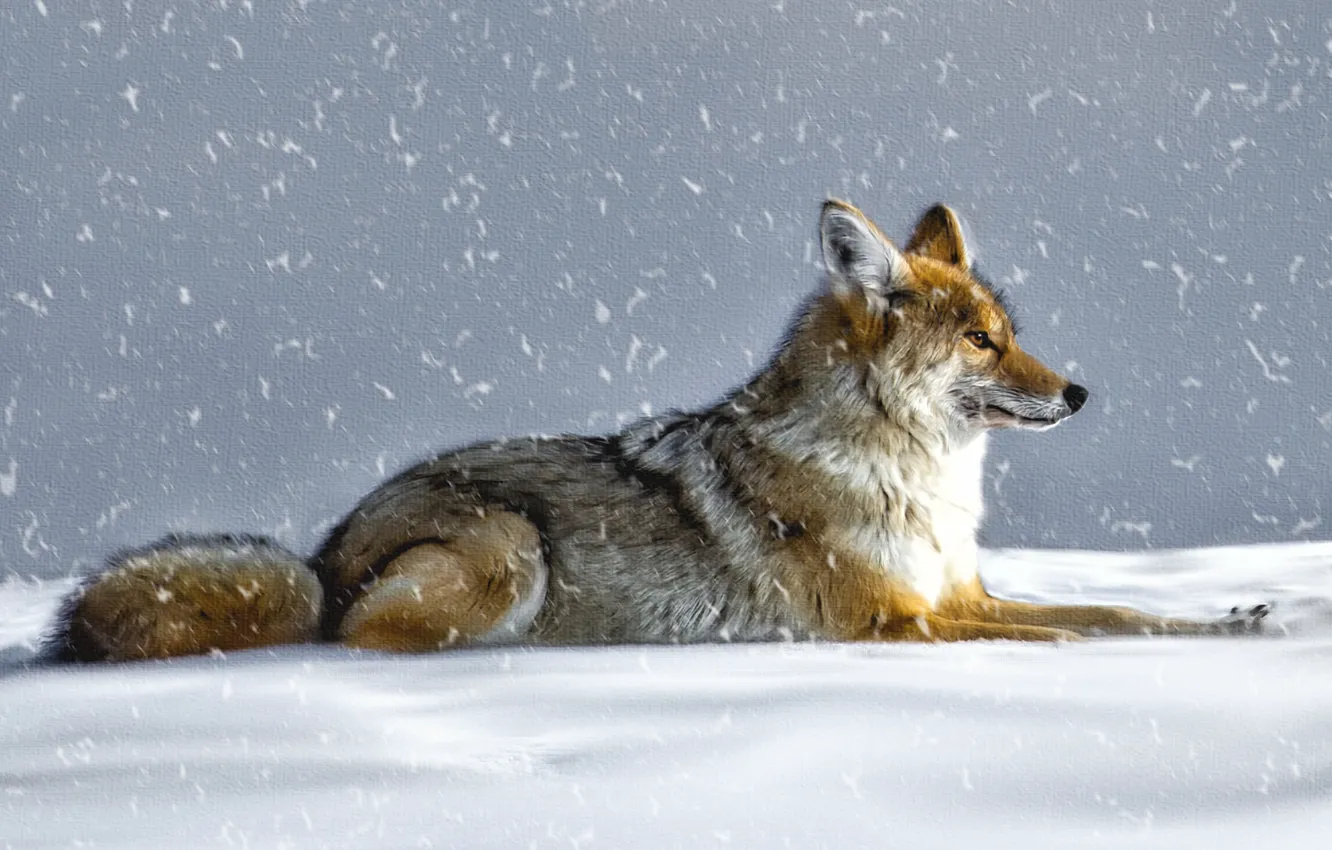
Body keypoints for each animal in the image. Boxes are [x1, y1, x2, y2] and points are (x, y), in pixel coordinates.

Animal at [47, 200, 1267, 661]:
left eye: (1012, 333)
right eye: (980, 340)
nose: (1080, 393)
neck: (912, 482)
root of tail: (320, 553)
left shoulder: (960, 597)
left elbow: (1111, 610)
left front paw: (1238, 614)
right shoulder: (897, 625)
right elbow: (1074, 635)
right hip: (508, 550)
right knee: (363, 643)